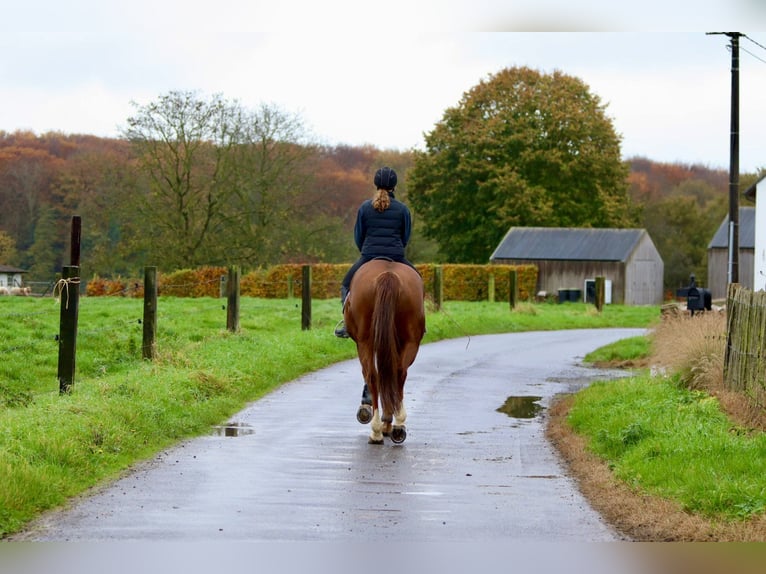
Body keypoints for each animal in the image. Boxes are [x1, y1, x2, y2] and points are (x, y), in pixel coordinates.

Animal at [346, 260, 428, 446]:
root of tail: (388, 275)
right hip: (410, 342)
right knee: (398, 373)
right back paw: (397, 426)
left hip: (365, 342)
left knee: (372, 375)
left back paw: (377, 430)